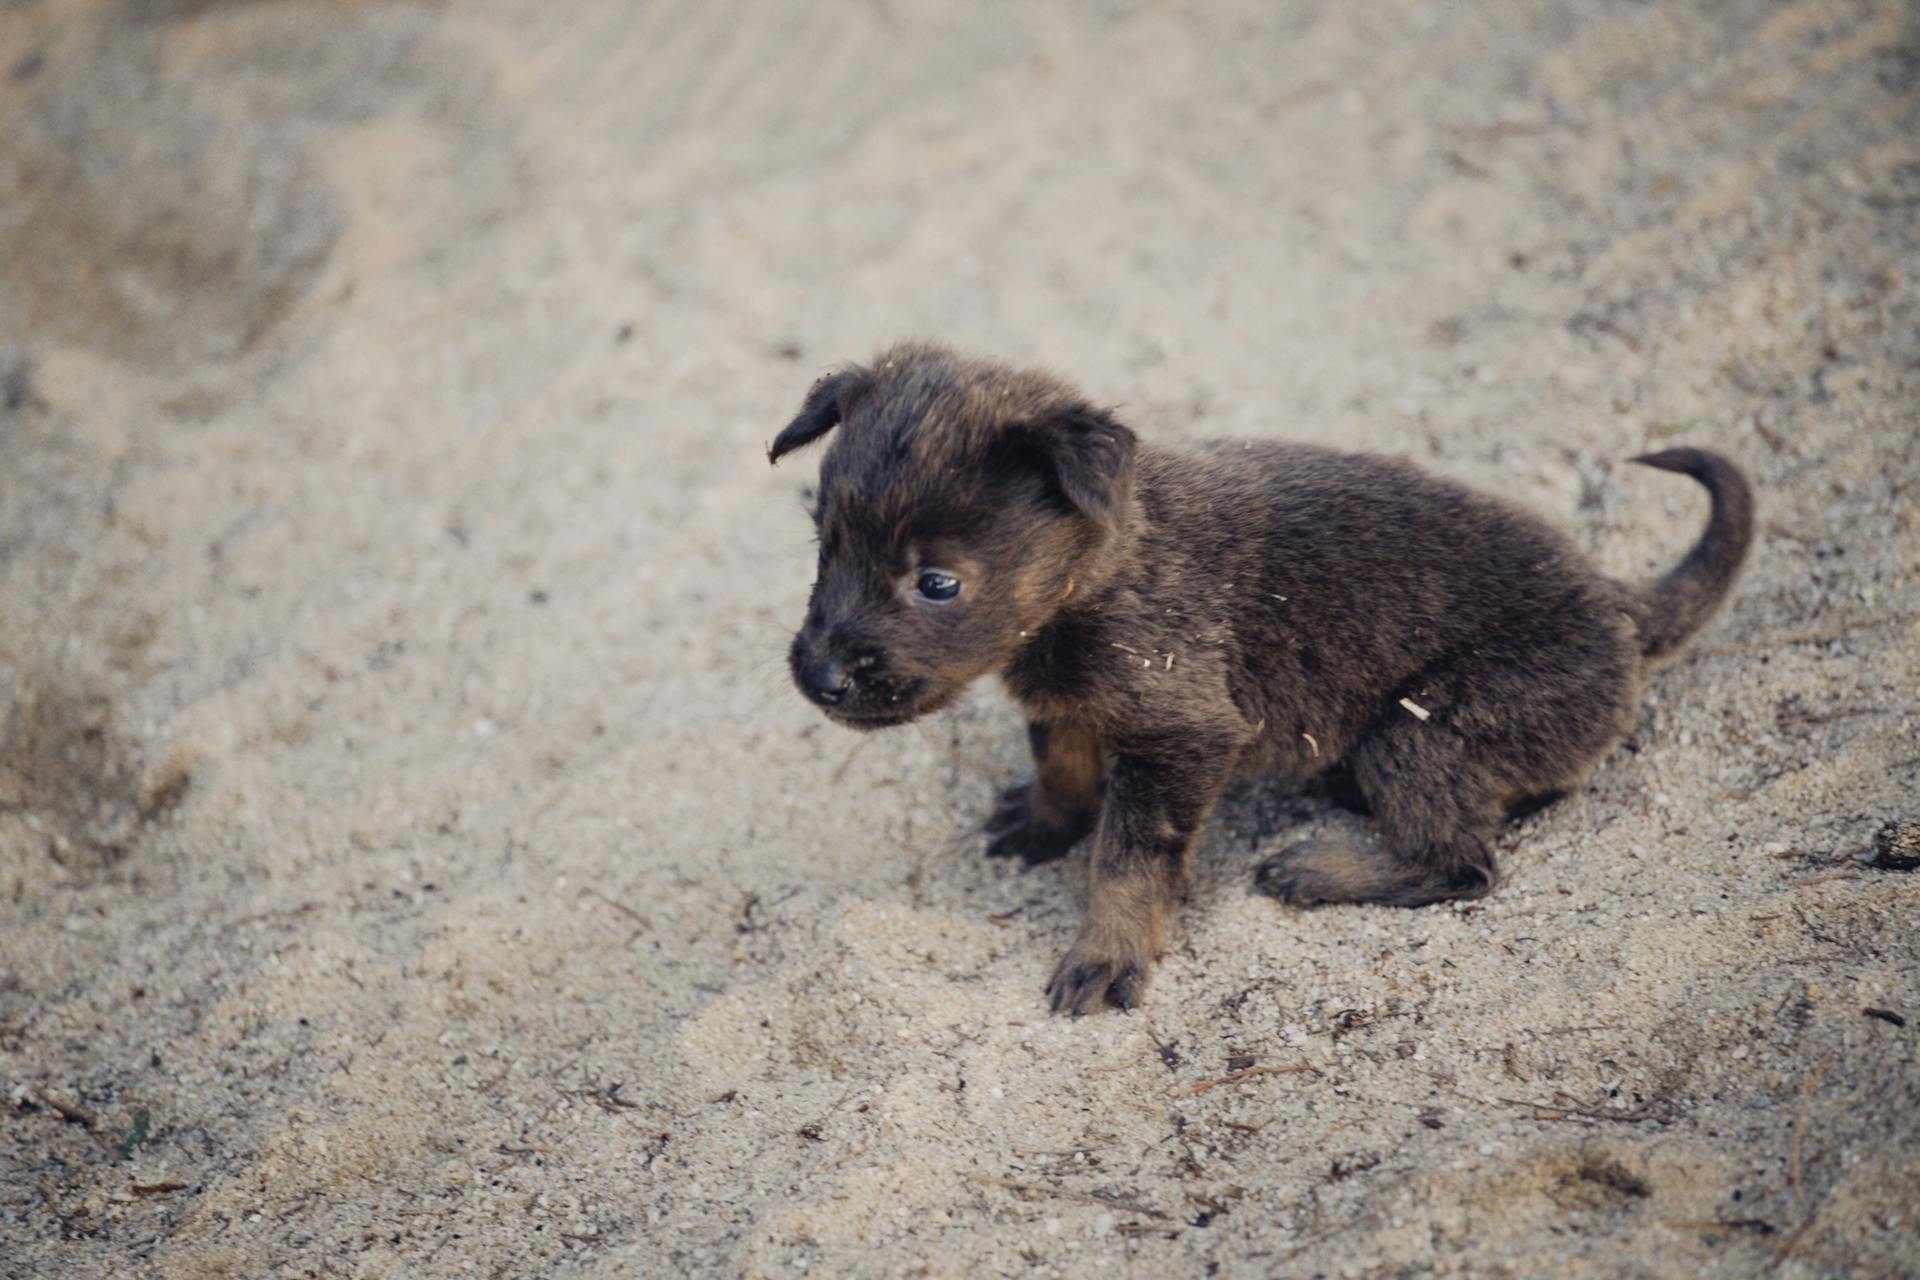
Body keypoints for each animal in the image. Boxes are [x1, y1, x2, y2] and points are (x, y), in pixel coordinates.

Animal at [768, 345, 1758, 1013]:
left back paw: (1319, 867)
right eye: (823, 547)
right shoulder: (1074, 708)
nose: (818, 676)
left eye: (937, 583)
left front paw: (1107, 958)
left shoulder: (1180, 737)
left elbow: (1126, 861)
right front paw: (1044, 827)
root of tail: (1618, 605)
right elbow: (1063, 773)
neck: (1108, 567)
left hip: (1420, 729)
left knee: (1461, 860)